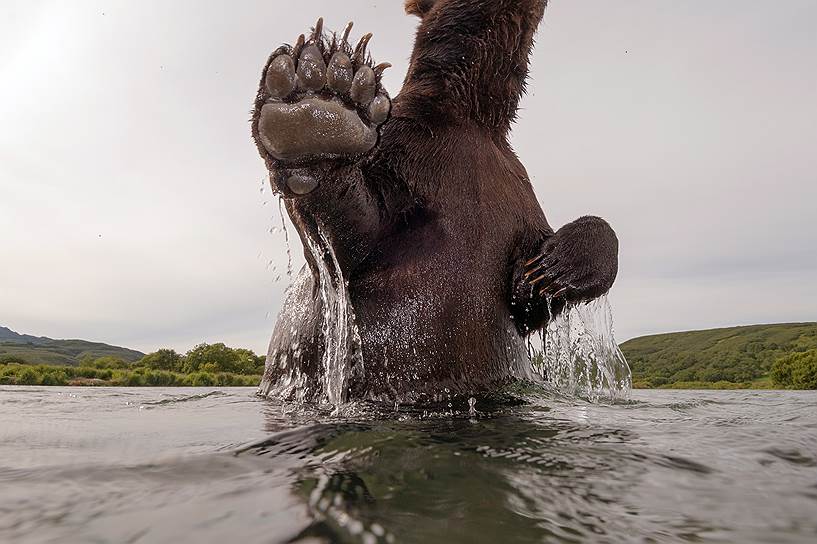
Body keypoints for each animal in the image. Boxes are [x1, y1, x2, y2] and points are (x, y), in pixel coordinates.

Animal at [252, 0, 616, 404]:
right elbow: (348, 244)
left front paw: (551, 270)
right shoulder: (404, 145)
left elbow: (526, 300)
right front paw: (321, 109)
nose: (549, 270)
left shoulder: (516, 193)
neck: (473, 114)